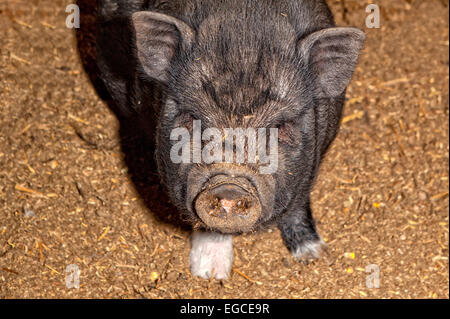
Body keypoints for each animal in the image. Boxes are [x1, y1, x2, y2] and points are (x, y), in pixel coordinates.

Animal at [96, 0, 364, 280]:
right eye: (194, 118)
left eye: (280, 127)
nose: (230, 186)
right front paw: (210, 275)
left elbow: (298, 202)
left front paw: (312, 254)